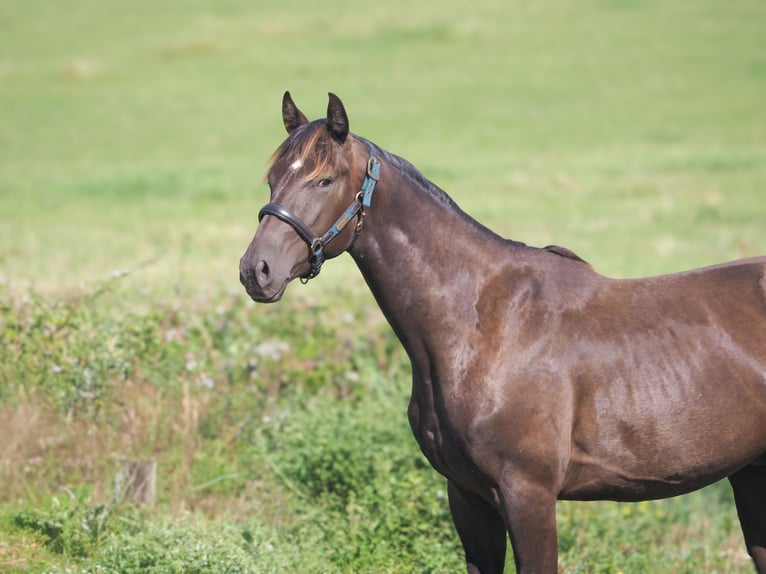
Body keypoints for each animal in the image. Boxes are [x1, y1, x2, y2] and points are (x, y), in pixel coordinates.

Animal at [240, 92, 766, 572]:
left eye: (324, 179)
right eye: (273, 179)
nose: (256, 271)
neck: (481, 326)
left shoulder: (528, 496)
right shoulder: (468, 499)